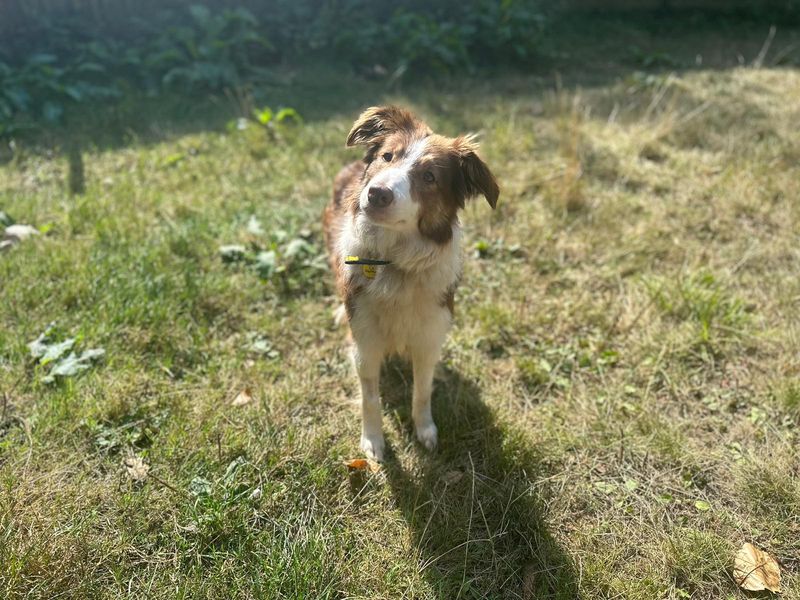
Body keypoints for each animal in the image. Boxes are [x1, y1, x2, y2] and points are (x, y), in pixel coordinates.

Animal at [322, 105, 496, 460]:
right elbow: (370, 398)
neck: (395, 264)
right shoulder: (365, 341)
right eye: (387, 156)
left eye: (429, 177)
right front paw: (373, 441)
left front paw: (425, 430)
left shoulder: (429, 338)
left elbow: (422, 391)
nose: (376, 193)